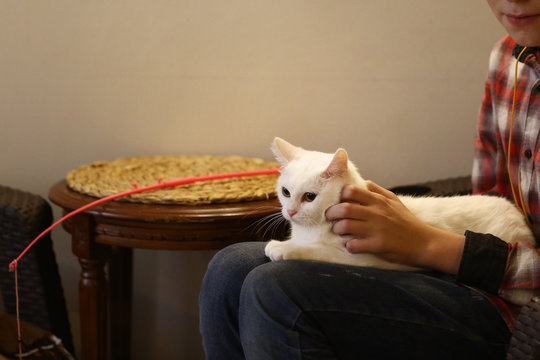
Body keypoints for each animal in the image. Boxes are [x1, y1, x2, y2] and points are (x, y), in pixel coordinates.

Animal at [264, 138, 532, 270]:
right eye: (285, 192)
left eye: (310, 197)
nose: (290, 211)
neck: (312, 228)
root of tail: (515, 211)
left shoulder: (365, 258)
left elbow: (319, 251)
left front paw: (283, 247)